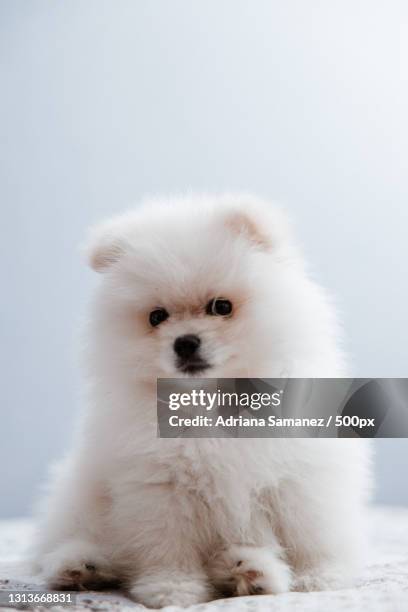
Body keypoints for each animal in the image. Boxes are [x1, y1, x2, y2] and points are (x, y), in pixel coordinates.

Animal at [35, 195, 372, 608]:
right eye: (157, 316)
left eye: (221, 307)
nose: (185, 342)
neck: (211, 400)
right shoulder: (159, 486)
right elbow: (167, 545)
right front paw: (172, 588)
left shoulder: (299, 478)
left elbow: (308, 533)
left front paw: (320, 576)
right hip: (81, 499)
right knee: (76, 538)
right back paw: (81, 565)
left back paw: (248, 571)